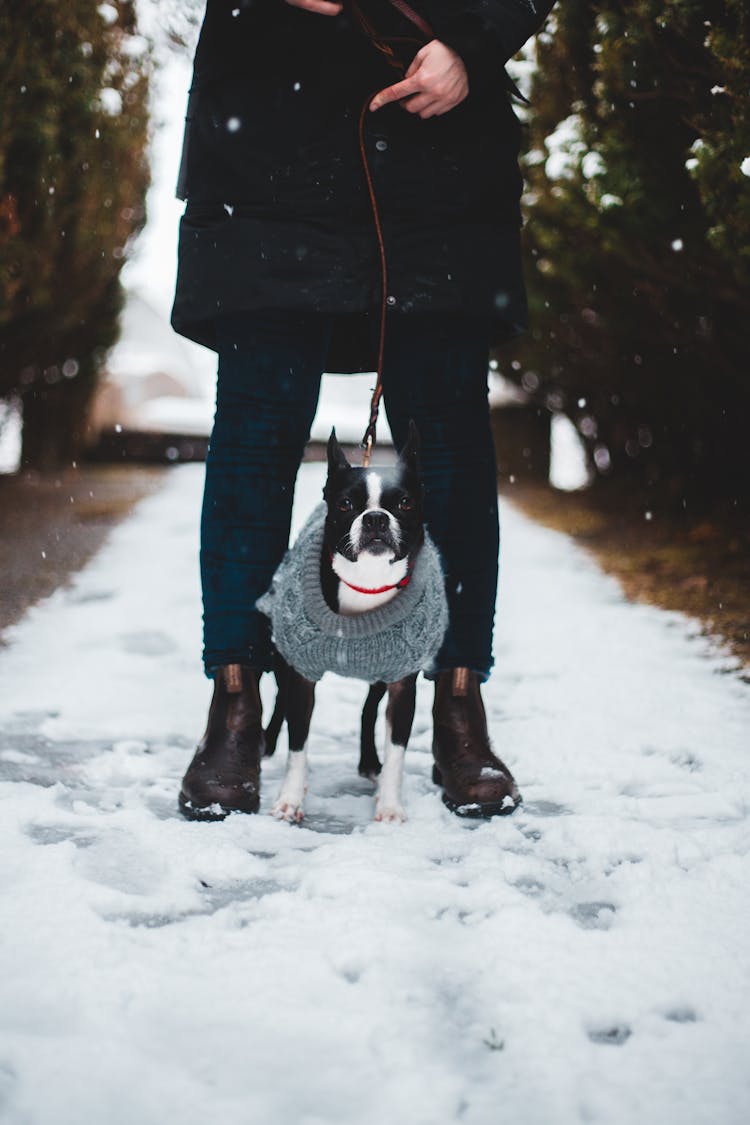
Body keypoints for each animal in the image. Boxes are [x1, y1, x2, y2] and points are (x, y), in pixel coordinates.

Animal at [264, 420, 427, 819]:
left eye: (405, 503)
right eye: (345, 504)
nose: (375, 518)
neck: (367, 582)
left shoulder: (403, 684)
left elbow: (397, 752)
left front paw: (390, 805)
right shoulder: (302, 674)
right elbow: (297, 744)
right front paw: (290, 799)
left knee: (368, 711)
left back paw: (369, 762)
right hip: (282, 657)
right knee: (280, 701)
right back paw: (267, 742)